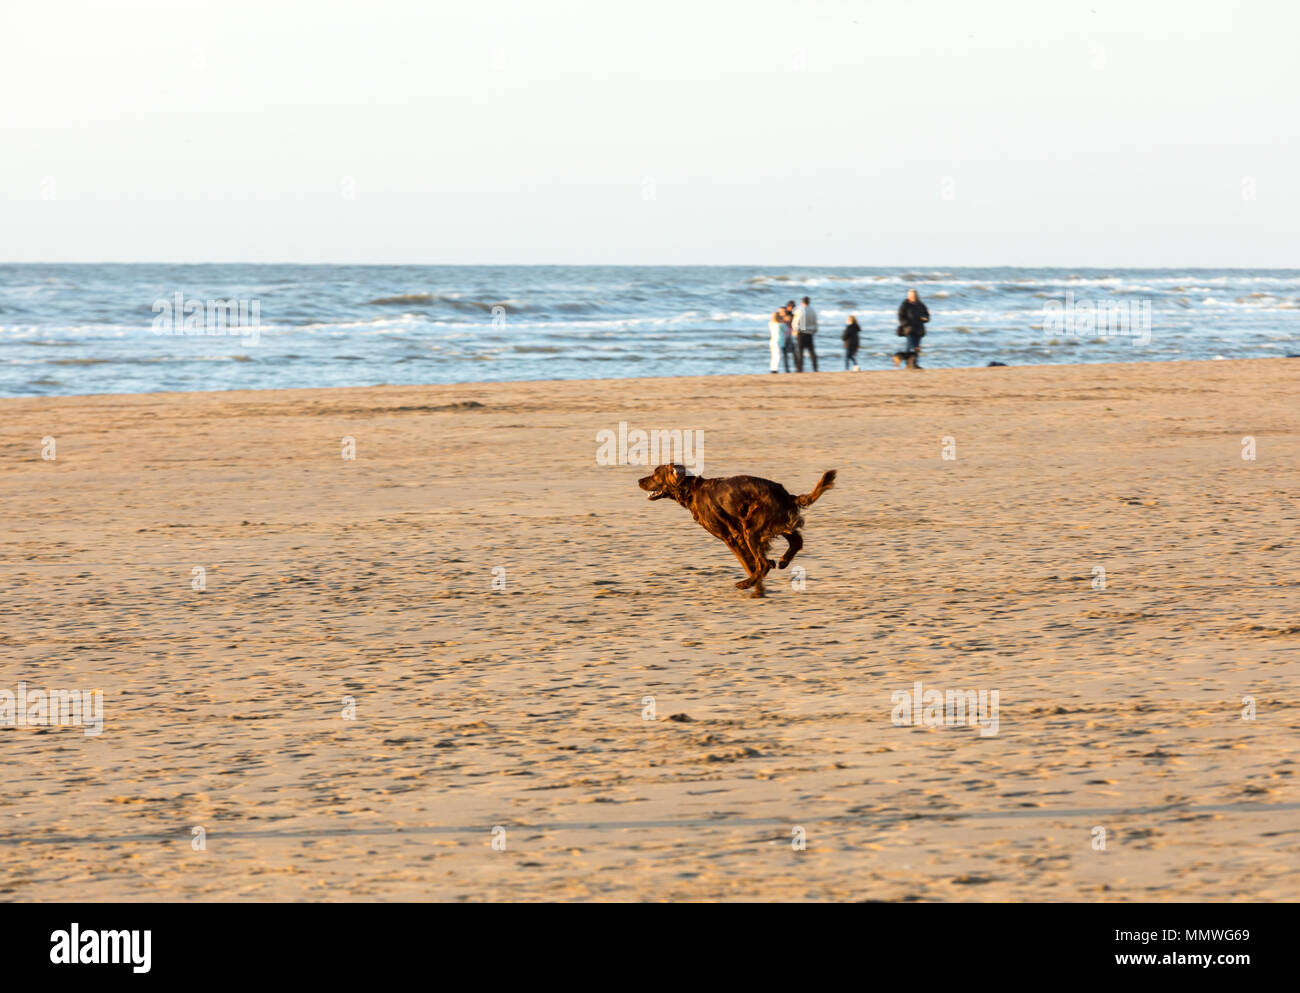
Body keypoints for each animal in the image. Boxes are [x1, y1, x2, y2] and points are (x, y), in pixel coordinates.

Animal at [634, 465, 837, 597]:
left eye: (655, 474)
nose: (638, 480)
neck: (691, 491)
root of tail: (787, 495)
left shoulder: (731, 537)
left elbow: (750, 563)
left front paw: (758, 589)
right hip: (773, 524)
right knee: (796, 541)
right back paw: (783, 561)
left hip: (752, 529)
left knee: (764, 563)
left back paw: (746, 584)